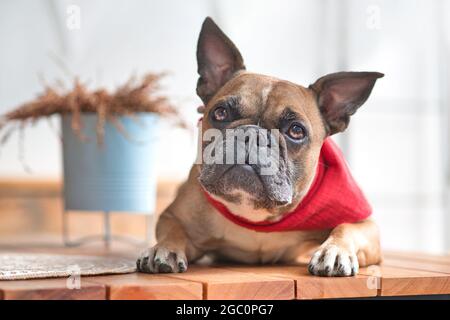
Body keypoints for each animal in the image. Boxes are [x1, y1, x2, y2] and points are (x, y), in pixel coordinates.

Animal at [137, 17, 384, 276]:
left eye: (296, 131)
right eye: (220, 113)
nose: (252, 135)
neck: (255, 215)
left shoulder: (366, 224)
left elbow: (346, 227)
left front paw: (334, 251)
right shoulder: (174, 216)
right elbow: (173, 230)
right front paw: (163, 249)